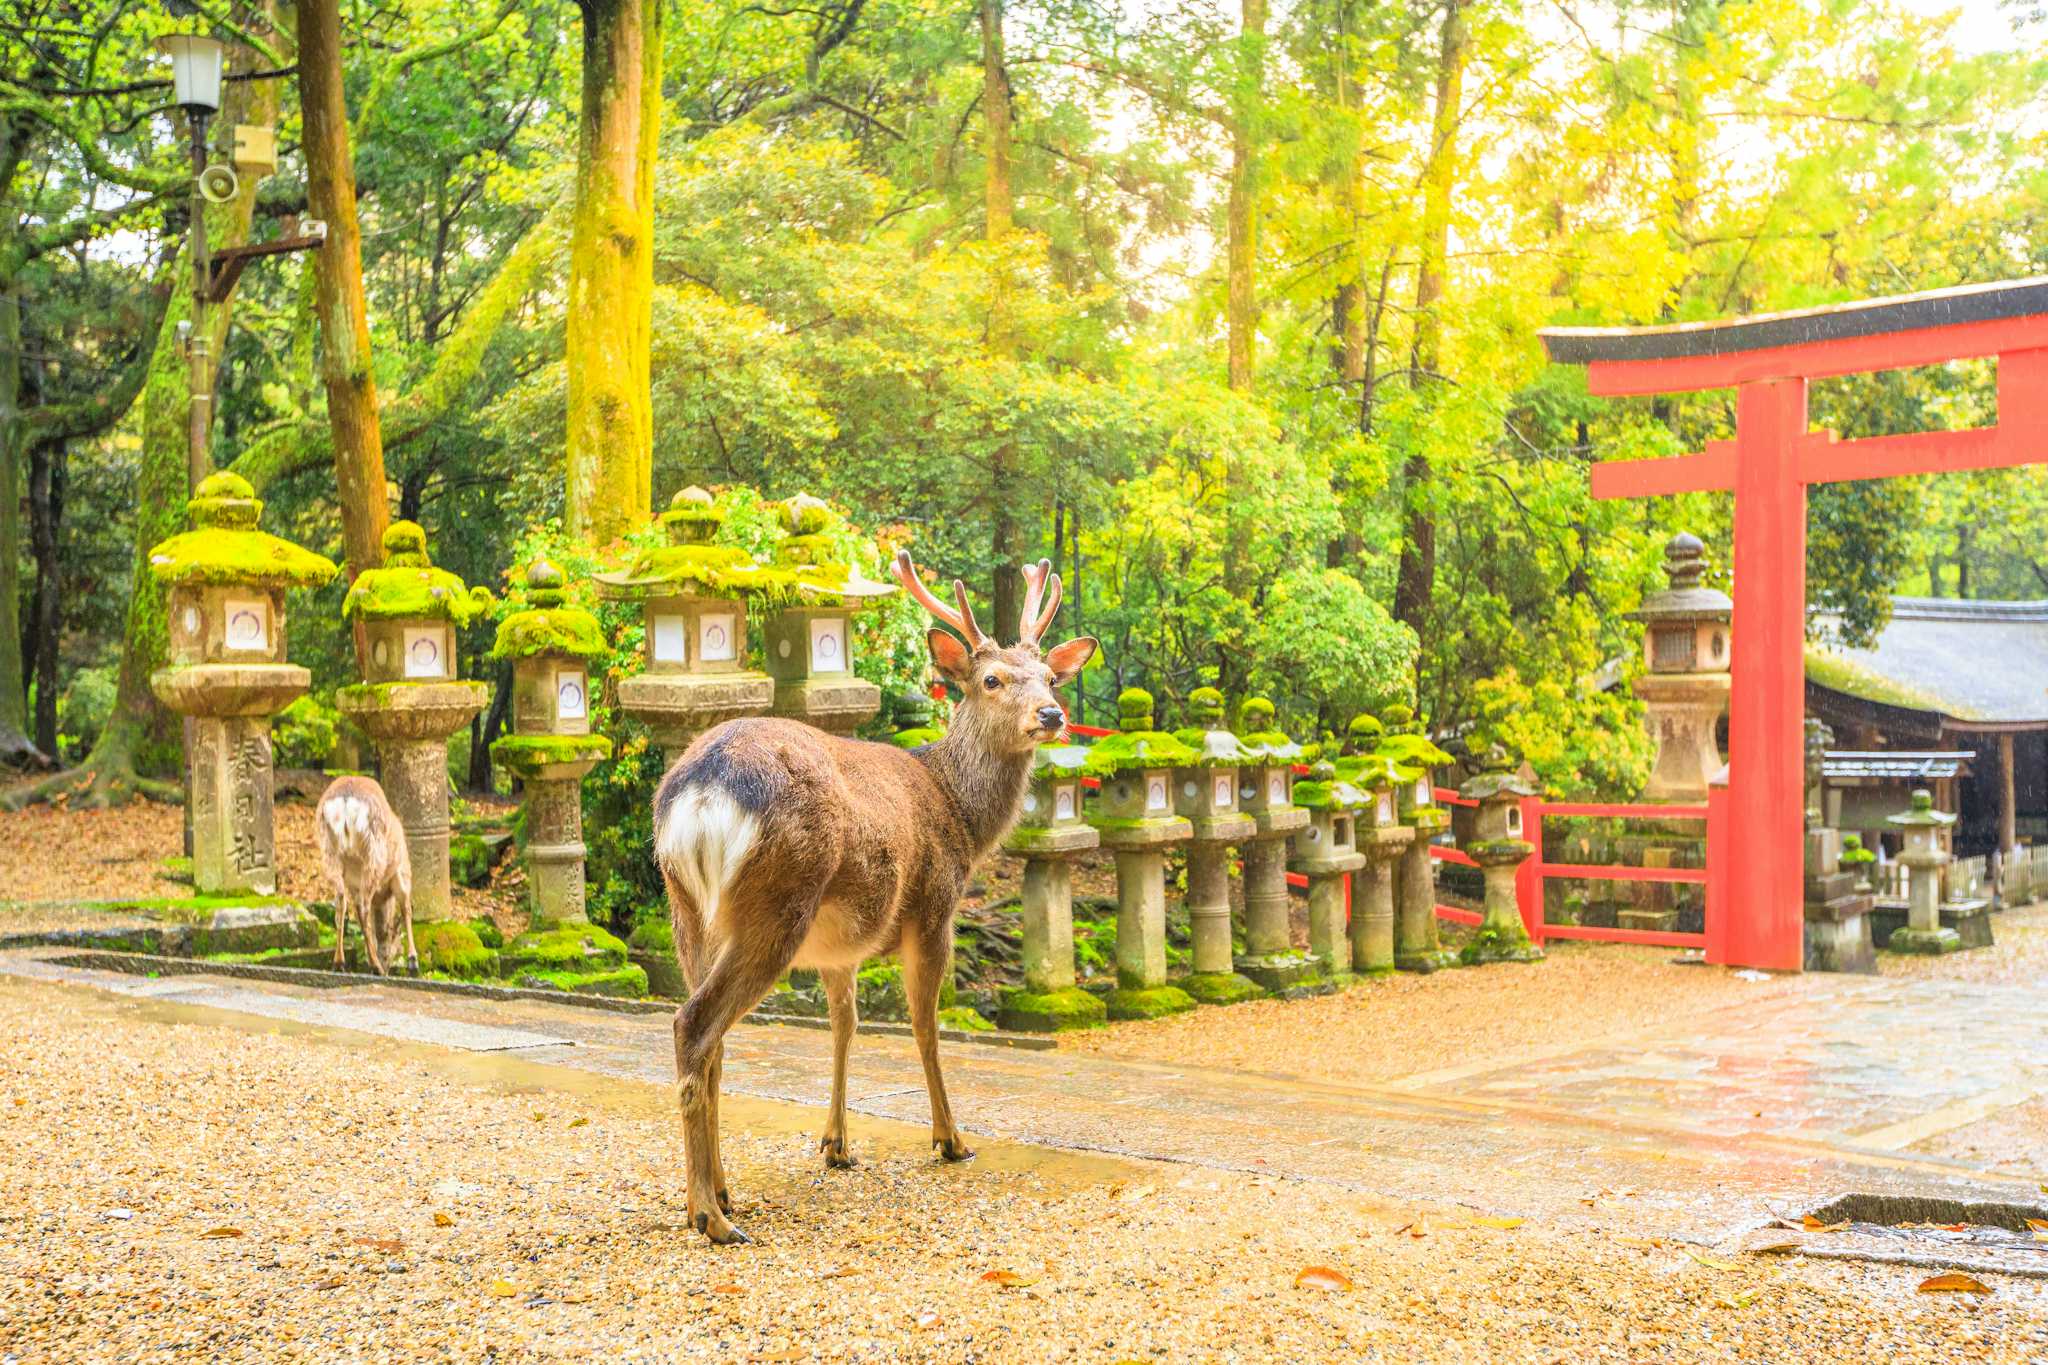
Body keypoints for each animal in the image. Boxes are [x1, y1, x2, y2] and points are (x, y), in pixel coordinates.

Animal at [311, 773, 415, 978]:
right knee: (363, 908)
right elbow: (406, 908)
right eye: (395, 944)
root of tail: (345, 800)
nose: (388, 965)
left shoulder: (353, 884)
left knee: (340, 905)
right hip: (373, 852)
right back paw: (375, 966)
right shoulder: (401, 871)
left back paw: (339, 962)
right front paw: (413, 961)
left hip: (329, 852)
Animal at [659, 548, 1097, 1244]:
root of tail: (703, 790)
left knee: (713, 1041)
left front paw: (836, 1144)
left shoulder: (840, 948)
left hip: (688, 907)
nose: (1051, 717)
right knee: (694, 1024)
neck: (960, 813)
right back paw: (711, 1215)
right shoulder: (936, 906)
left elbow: (846, 1024)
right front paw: (951, 1139)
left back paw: (720, 1193)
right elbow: (924, 1025)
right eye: (992, 679)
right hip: (778, 900)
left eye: (1050, 679)